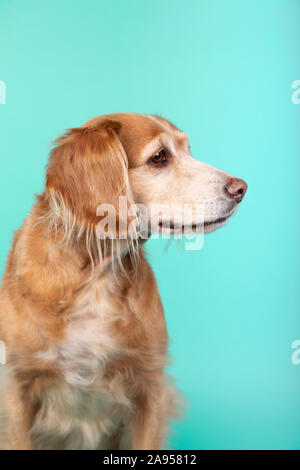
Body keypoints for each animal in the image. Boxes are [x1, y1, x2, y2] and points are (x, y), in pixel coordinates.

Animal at [0, 112, 246, 450]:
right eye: (159, 157)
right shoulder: (16, 390)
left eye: (188, 150)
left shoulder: (150, 386)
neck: (96, 274)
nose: (241, 188)